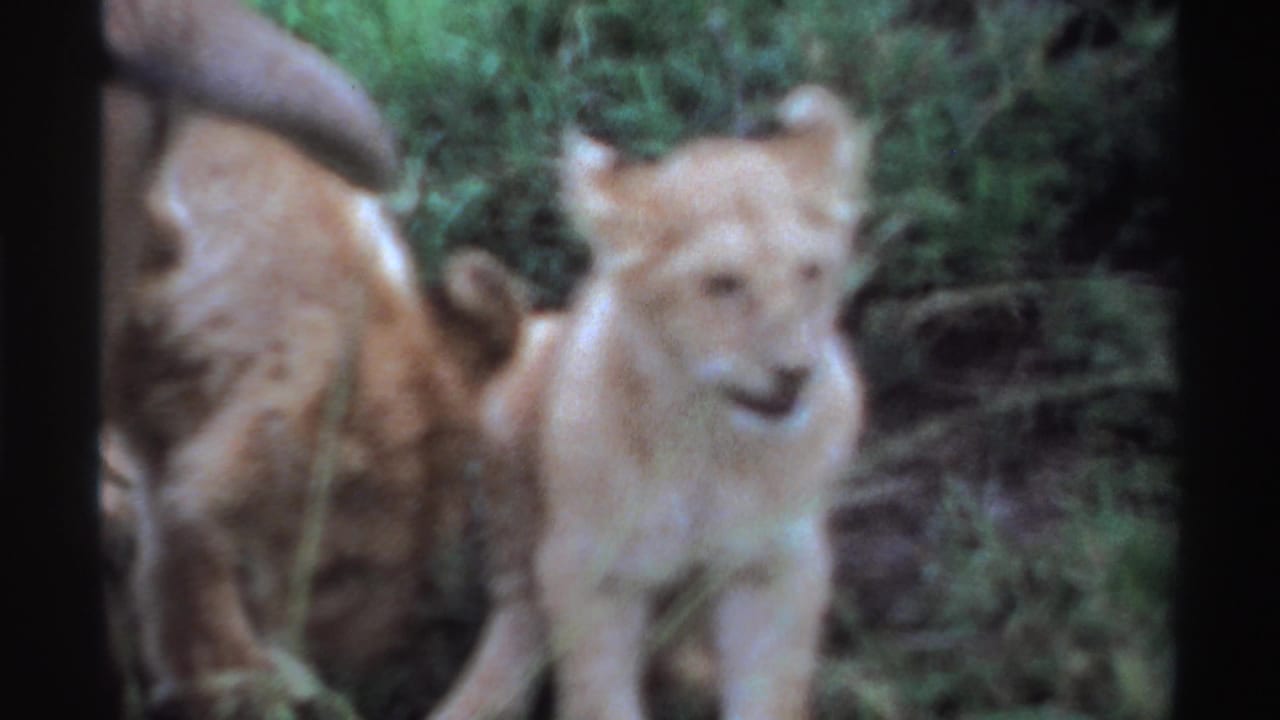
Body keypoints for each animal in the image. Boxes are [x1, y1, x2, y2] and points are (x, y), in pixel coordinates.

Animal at [429, 85, 872, 720]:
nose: (795, 372)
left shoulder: (776, 567)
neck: (709, 442)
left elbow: (768, 693)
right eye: (722, 284)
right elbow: (598, 695)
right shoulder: (591, 570)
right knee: (517, 608)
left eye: (811, 271)